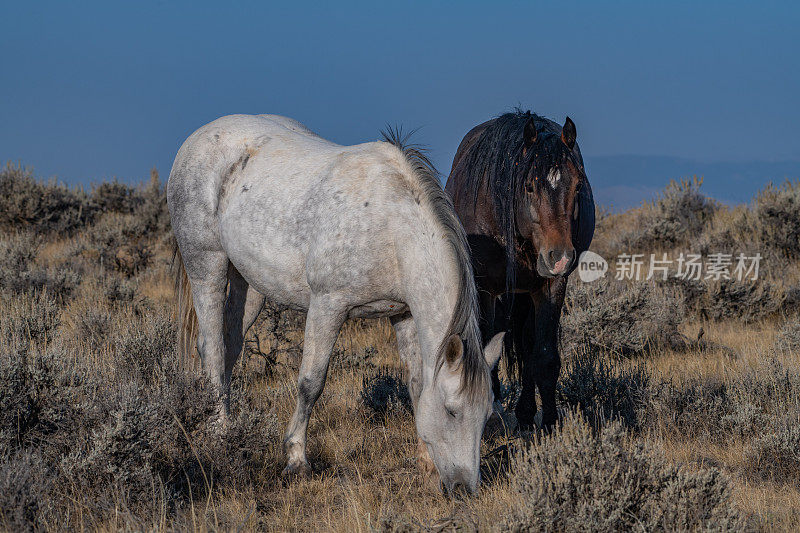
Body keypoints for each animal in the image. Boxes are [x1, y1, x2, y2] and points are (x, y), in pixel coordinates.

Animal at [168, 114, 504, 492]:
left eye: (486, 415)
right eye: (451, 410)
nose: (464, 488)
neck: (391, 228)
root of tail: (197, 138)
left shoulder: (403, 314)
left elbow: (417, 385)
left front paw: (426, 464)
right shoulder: (328, 306)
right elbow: (310, 383)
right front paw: (296, 459)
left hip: (249, 284)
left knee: (229, 343)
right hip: (206, 266)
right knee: (211, 347)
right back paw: (221, 432)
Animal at [444, 110, 592, 430]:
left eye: (578, 185)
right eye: (530, 186)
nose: (560, 257)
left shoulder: (551, 287)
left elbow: (544, 356)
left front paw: (549, 424)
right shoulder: (485, 287)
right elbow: (487, 345)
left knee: (526, 344)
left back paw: (525, 414)